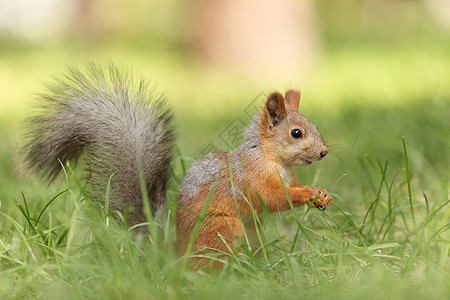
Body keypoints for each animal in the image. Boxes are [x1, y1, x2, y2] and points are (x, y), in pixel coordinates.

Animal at [23, 64, 334, 266]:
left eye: (316, 127)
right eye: (296, 133)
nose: (324, 152)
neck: (272, 159)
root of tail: (177, 257)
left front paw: (322, 194)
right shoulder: (253, 178)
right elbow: (273, 197)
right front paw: (307, 193)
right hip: (223, 228)